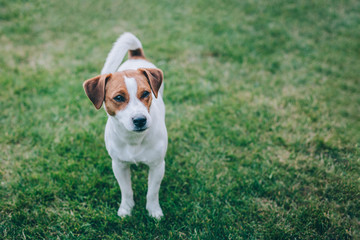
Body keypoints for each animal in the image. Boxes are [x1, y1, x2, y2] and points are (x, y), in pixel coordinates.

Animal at [83, 32, 168, 219]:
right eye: (119, 98)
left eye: (146, 93)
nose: (140, 120)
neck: (134, 139)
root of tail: (136, 56)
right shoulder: (119, 165)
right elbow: (126, 190)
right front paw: (126, 209)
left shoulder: (157, 166)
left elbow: (152, 192)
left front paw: (154, 211)